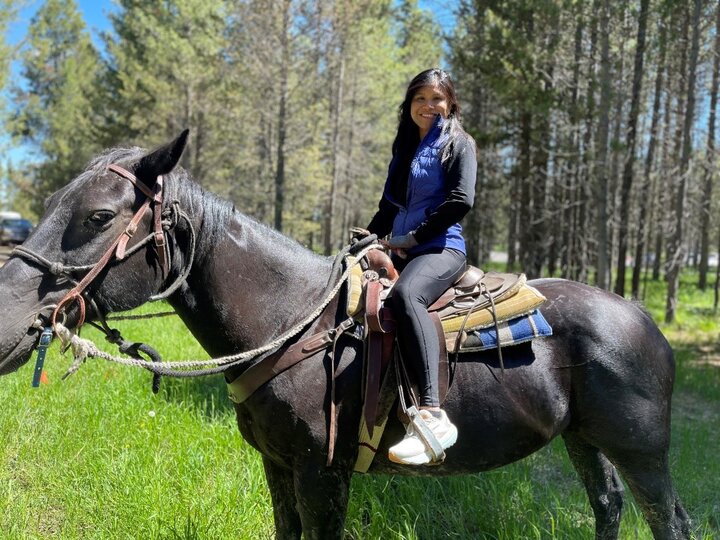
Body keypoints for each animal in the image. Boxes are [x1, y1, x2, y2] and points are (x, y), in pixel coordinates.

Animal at [0, 131, 691, 540]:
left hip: (641, 451)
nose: (8, 323)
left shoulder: (322, 474)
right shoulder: (278, 467)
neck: (288, 319)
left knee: (668, 520)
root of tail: (642, 317)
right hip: (585, 439)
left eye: (98, 216)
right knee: (608, 506)